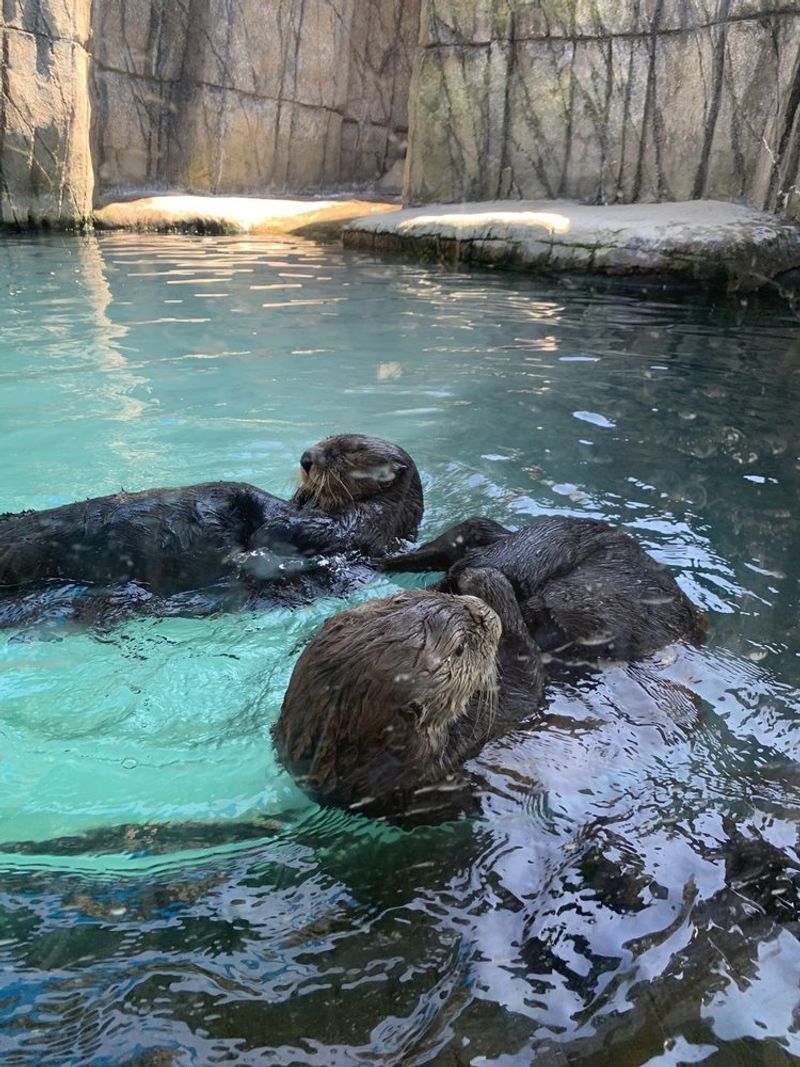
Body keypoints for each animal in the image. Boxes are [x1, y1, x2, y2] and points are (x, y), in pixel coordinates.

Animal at [274, 566, 545, 819]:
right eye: (459, 648)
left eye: (409, 596)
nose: (480, 611)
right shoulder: (472, 736)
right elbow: (525, 677)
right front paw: (484, 578)